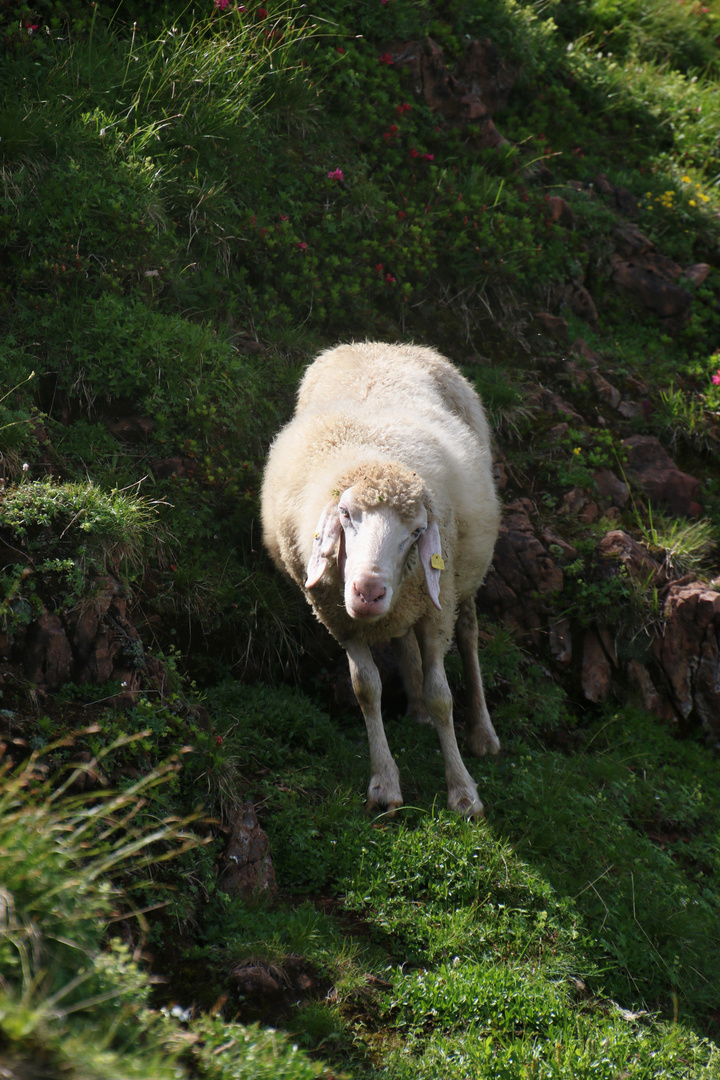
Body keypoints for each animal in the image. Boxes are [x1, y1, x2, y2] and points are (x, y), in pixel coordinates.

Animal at [259, 341, 500, 812]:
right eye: (345, 514)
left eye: (418, 532)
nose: (368, 590)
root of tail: (385, 344)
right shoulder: (338, 616)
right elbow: (365, 688)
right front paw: (384, 784)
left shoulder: (435, 609)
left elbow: (442, 695)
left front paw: (463, 791)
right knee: (403, 639)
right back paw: (416, 709)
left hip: (461, 579)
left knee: (468, 634)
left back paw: (482, 732)